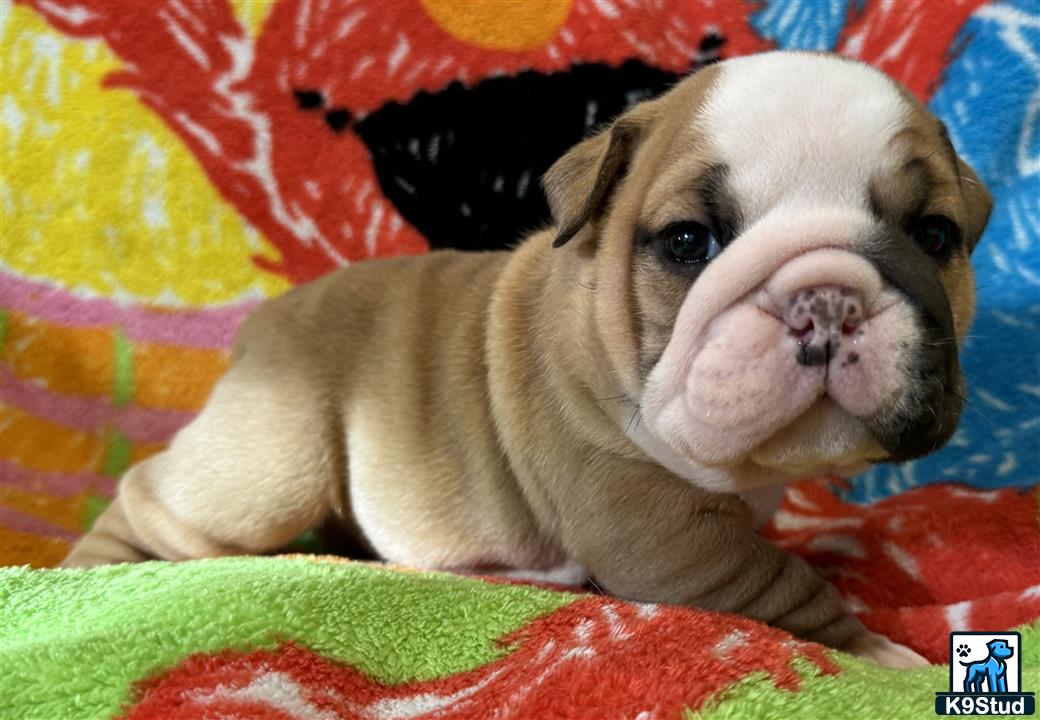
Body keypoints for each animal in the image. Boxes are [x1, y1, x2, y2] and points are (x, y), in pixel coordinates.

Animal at [65, 53, 990, 665]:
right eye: (689, 241)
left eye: (934, 236)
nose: (826, 298)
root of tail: (268, 320)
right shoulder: (661, 528)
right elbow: (782, 584)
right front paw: (878, 652)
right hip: (268, 466)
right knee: (159, 502)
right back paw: (92, 578)